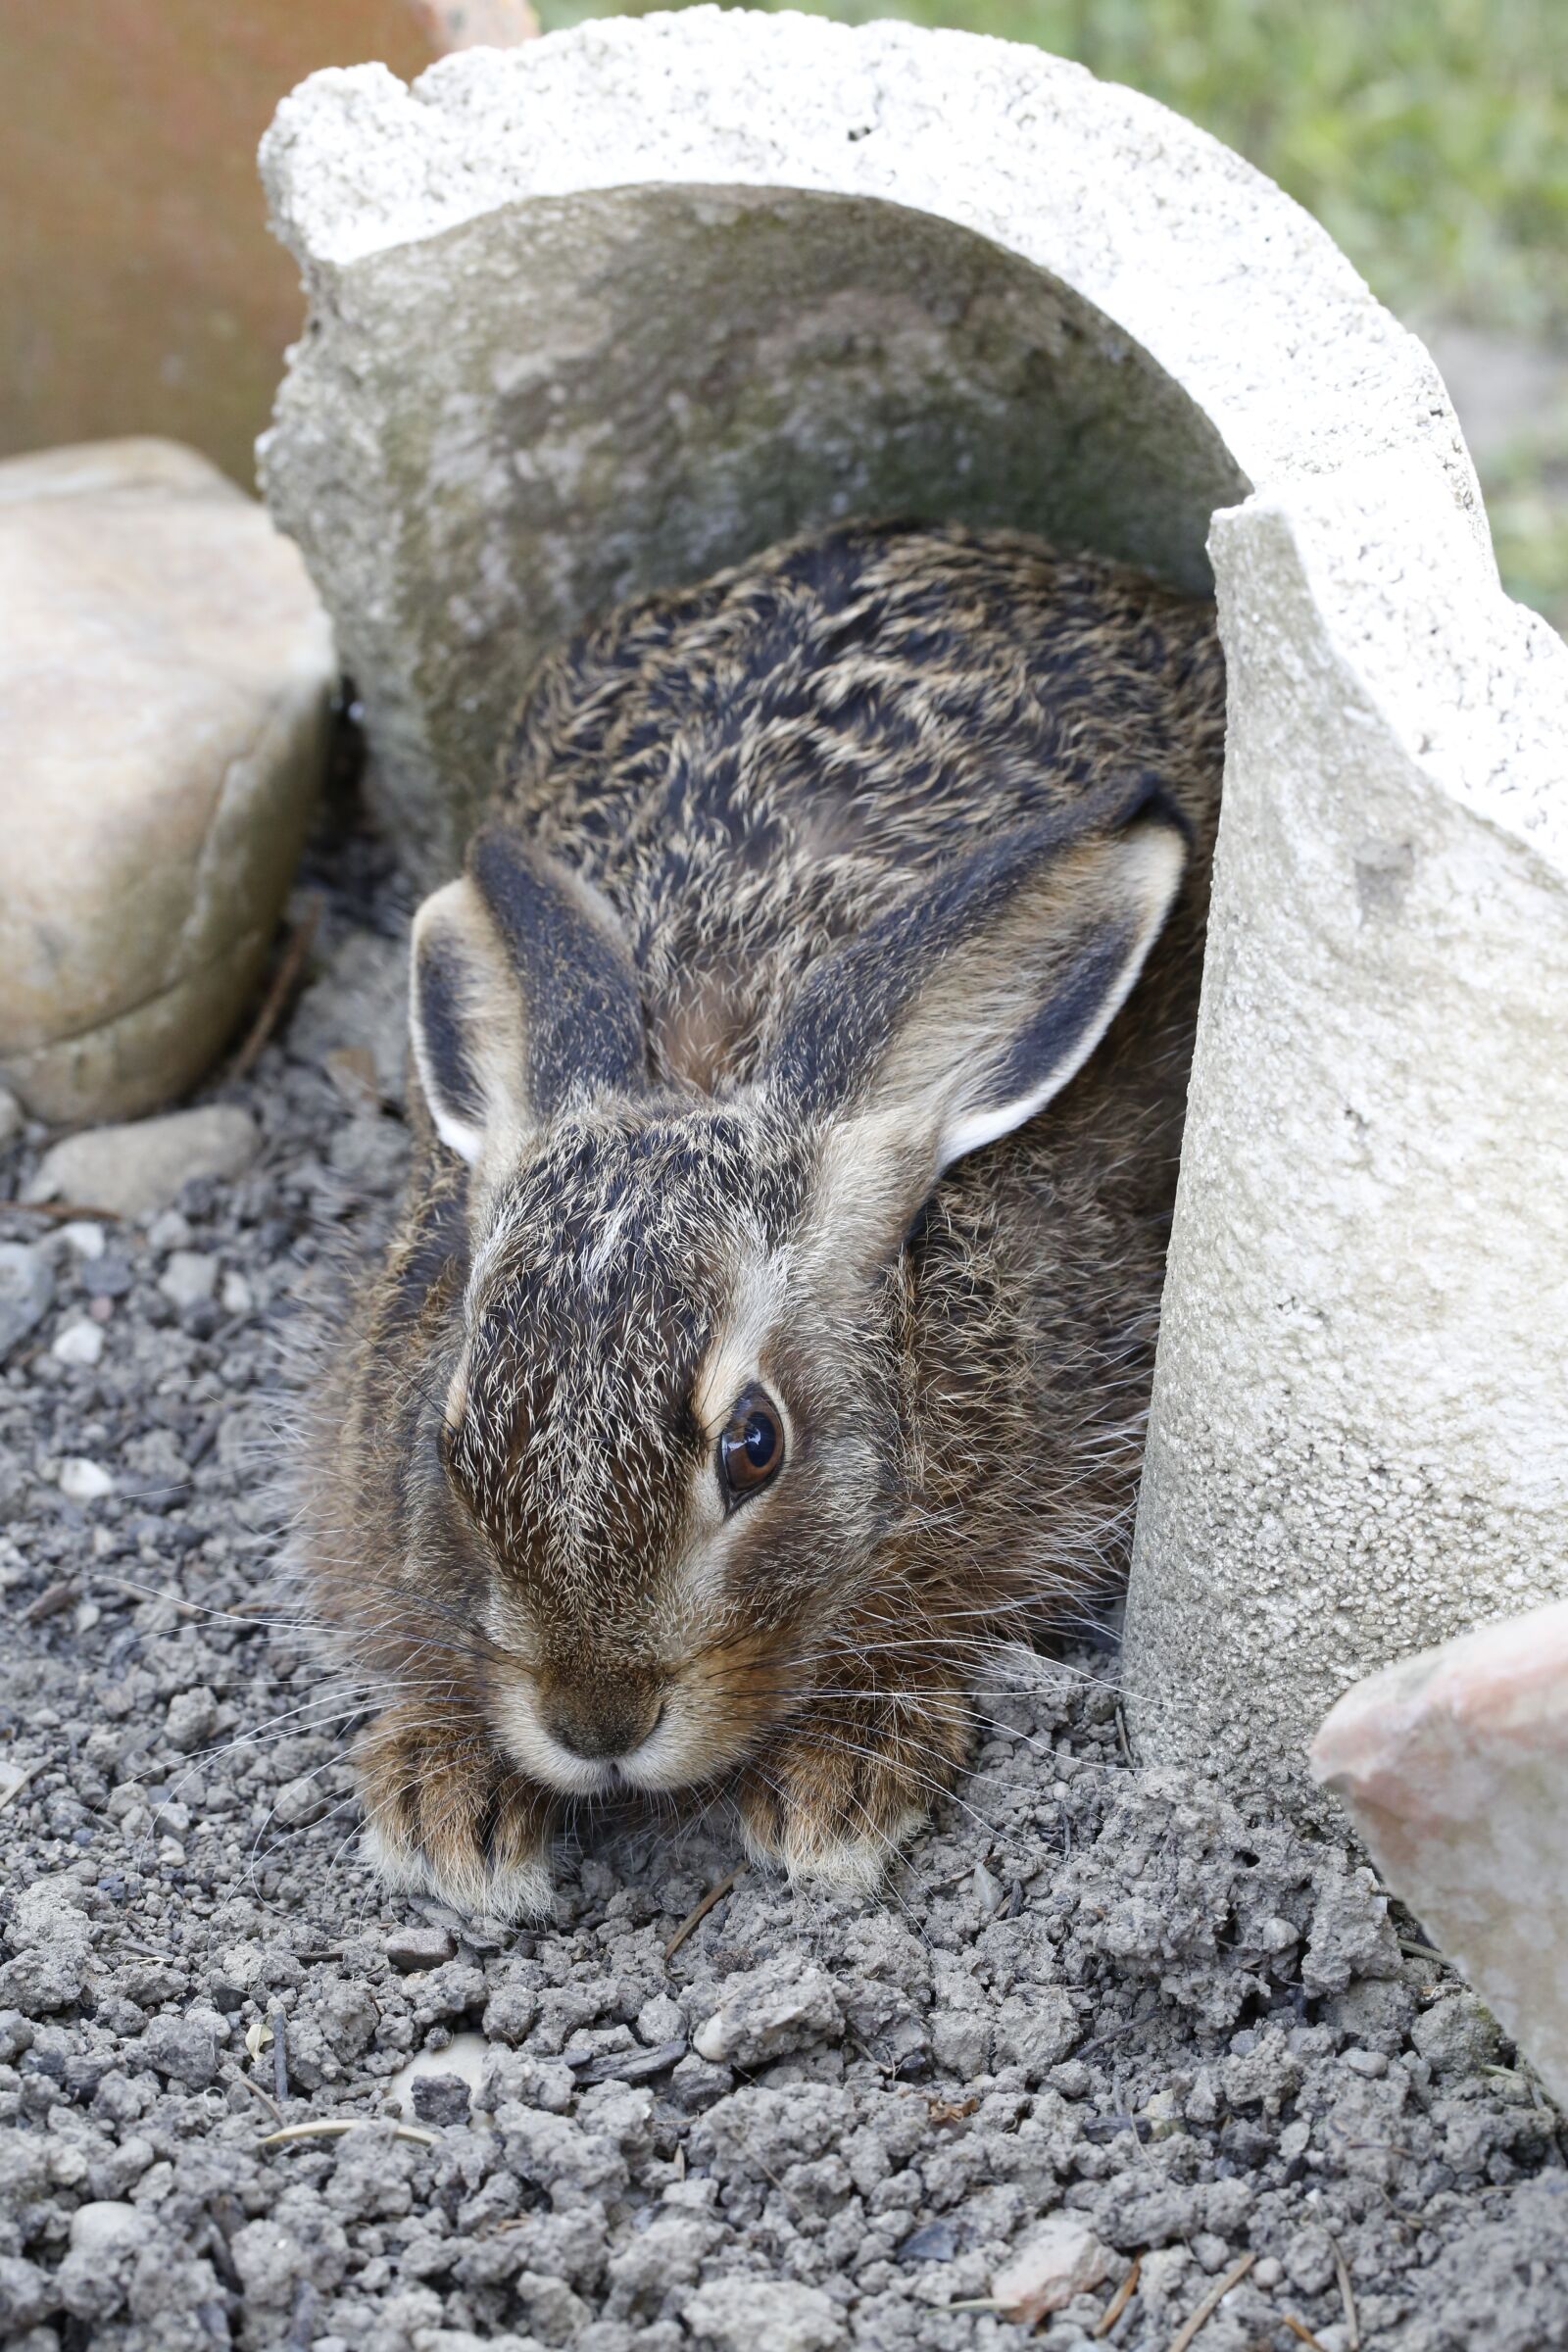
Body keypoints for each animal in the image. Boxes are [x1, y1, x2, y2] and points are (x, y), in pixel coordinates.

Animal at [299, 517, 1226, 1923]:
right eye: (453, 1441)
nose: (598, 1720)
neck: (706, 1066)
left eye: (754, 1447)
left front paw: (844, 1777)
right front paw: (441, 1793)